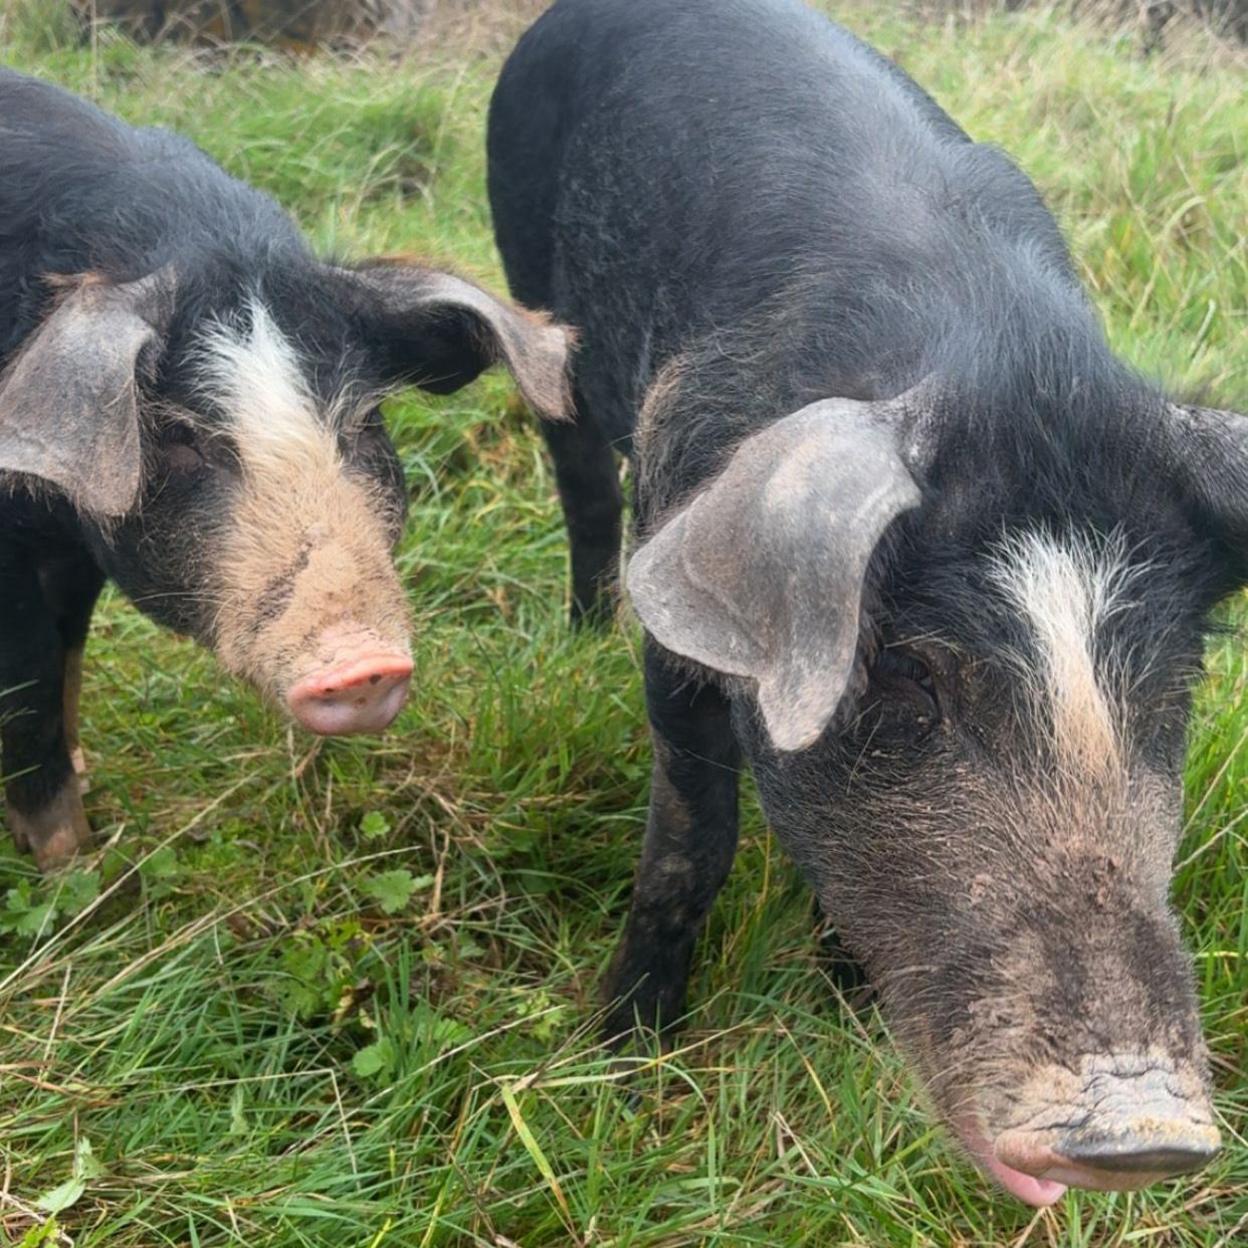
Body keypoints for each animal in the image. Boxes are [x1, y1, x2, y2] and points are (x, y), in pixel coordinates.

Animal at [0, 68, 570, 872]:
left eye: (362, 420)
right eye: (178, 438)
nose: (363, 662)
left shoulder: (76, 543)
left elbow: (67, 660)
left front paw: (84, 787)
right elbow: (28, 688)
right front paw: (74, 867)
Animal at [487, 0, 1243, 1205]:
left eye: (1175, 683)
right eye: (903, 674)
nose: (1145, 1132)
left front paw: (845, 1004)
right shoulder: (677, 616)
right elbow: (691, 844)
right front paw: (620, 1056)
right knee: (571, 460)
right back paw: (578, 627)